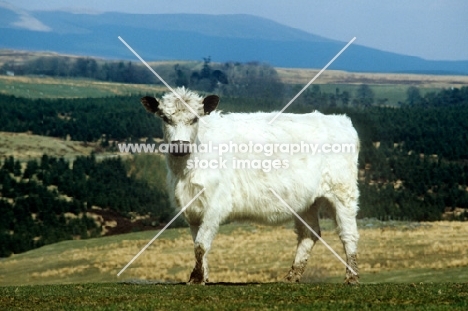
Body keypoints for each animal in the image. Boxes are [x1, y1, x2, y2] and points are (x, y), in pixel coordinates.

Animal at [141, 87, 360, 286]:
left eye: (195, 119)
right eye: (165, 118)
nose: (180, 145)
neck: (185, 172)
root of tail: (340, 120)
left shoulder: (216, 204)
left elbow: (202, 244)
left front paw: (196, 278)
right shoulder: (192, 208)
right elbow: (198, 244)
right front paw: (203, 276)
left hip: (343, 191)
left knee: (348, 233)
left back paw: (352, 277)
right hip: (306, 201)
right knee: (309, 233)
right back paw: (292, 276)